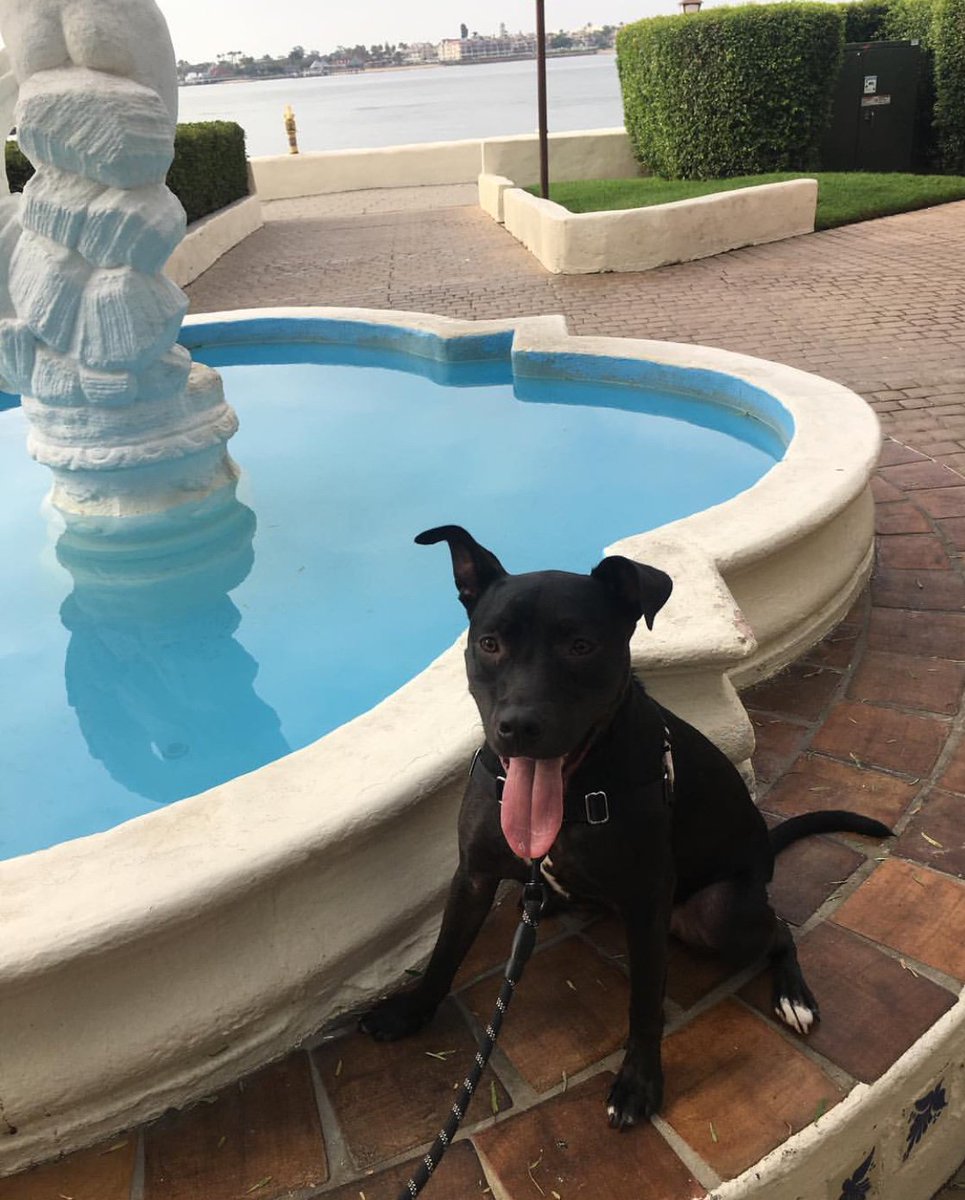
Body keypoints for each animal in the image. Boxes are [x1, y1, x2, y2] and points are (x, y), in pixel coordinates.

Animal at [360, 525, 888, 1123]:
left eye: (581, 646)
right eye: (490, 644)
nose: (517, 727)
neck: (572, 792)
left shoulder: (645, 902)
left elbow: (644, 1003)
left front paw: (639, 1081)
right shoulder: (472, 875)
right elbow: (445, 952)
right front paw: (410, 1012)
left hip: (719, 911)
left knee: (778, 929)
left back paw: (793, 994)